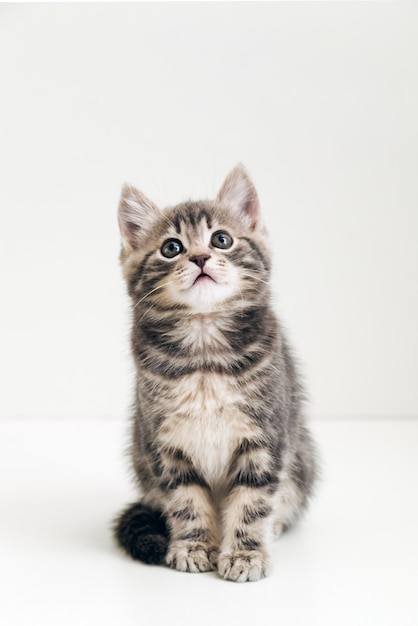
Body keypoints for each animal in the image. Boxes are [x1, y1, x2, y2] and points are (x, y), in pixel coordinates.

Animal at [112, 166, 318, 580]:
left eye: (221, 239)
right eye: (171, 247)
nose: (201, 257)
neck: (205, 353)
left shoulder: (265, 438)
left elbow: (252, 502)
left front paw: (245, 554)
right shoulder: (166, 443)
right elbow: (186, 499)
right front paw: (193, 546)